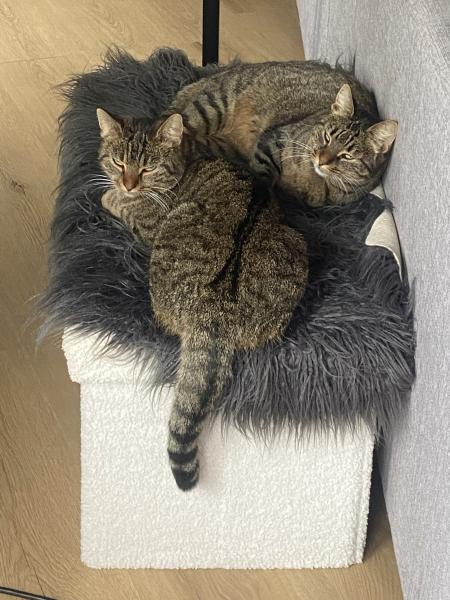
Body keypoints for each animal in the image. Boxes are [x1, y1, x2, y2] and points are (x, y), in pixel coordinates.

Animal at [97, 111, 308, 490]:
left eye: (148, 168)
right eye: (119, 162)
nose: (128, 184)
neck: (186, 157)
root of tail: (214, 311)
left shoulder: (149, 225)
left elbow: (122, 206)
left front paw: (111, 196)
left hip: (176, 227)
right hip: (296, 244)